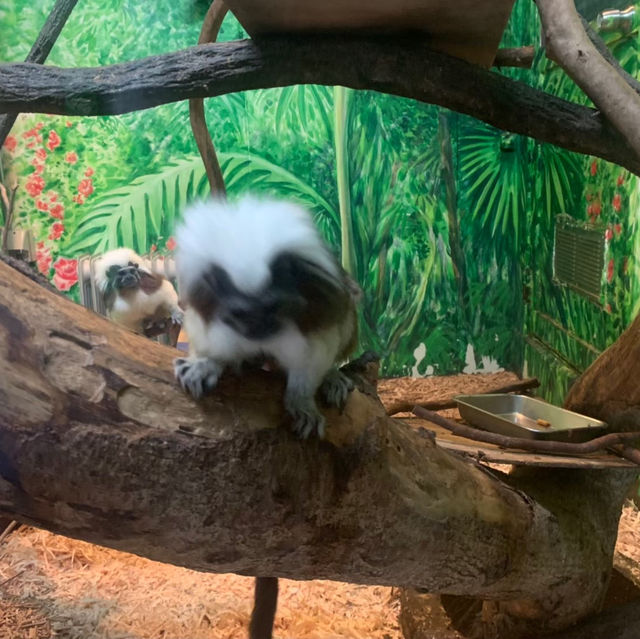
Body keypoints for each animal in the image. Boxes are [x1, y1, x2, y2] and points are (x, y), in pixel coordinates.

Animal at [172, 196, 360, 440]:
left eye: (273, 307)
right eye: (240, 313)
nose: (258, 328)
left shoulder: (319, 301)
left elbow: (315, 353)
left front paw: (301, 401)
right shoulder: (204, 301)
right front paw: (206, 363)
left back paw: (331, 376)